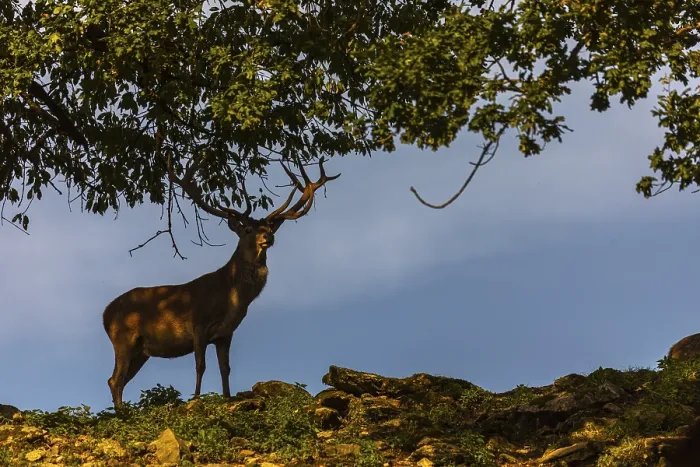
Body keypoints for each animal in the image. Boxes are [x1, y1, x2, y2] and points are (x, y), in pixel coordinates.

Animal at [102, 154, 339, 408]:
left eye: (269, 227)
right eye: (247, 230)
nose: (268, 237)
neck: (230, 297)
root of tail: (105, 315)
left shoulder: (226, 334)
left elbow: (225, 368)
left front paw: (227, 398)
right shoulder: (198, 324)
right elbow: (200, 365)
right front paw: (196, 399)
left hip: (141, 350)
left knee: (118, 379)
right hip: (123, 338)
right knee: (115, 379)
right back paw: (122, 412)